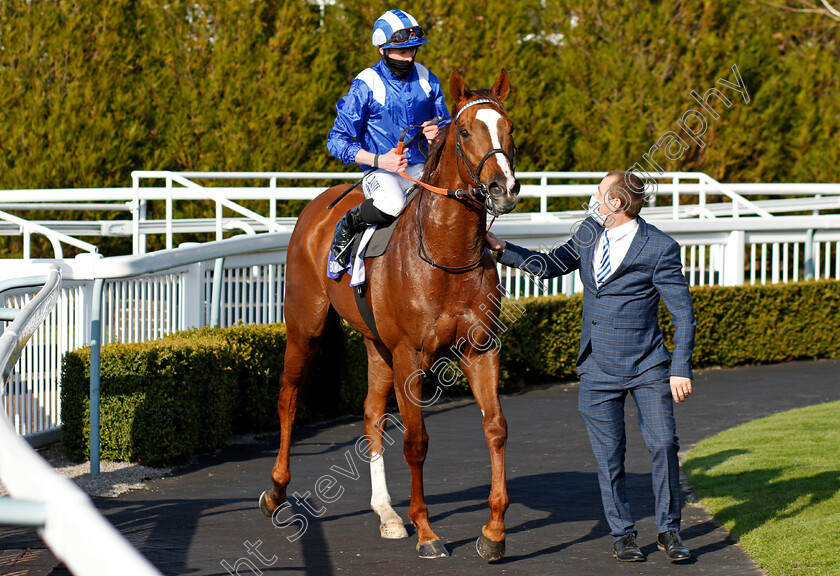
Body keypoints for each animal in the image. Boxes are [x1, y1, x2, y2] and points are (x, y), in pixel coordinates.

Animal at [260, 70, 520, 560]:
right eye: (464, 131)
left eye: (509, 128)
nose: (504, 188)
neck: (446, 253)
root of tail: (318, 204)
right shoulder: (410, 355)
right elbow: (416, 441)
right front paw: (428, 532)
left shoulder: (480, 349)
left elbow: (495, 428)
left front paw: (494, 531)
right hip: (306, 324)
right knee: (288, 397)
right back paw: (276, 491)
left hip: (375, 342)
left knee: (370, 414)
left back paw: (386, 513)